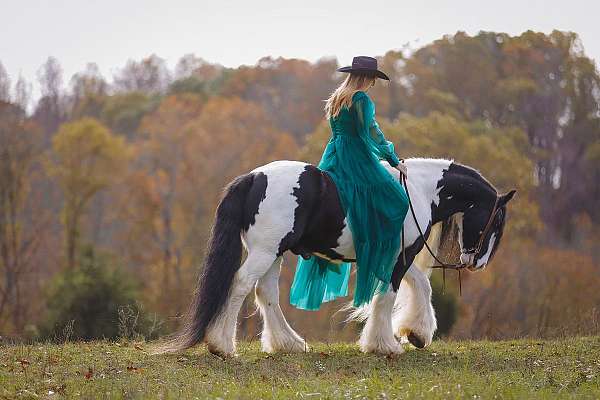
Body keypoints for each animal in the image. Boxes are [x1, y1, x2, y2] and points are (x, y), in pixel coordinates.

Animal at [155, 158, 516, 354]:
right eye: (497, 220)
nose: (478, 263)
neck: (417, 191)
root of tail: (254, 177)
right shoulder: (401, 256)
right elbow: (388, 296)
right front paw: (384, 344)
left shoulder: (401, 256)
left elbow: (420, 288)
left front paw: (417, 334)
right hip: (264, 252)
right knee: (241, 285)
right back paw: (222, 346)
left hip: (273, 253)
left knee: (265, 293)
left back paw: (288, 344)